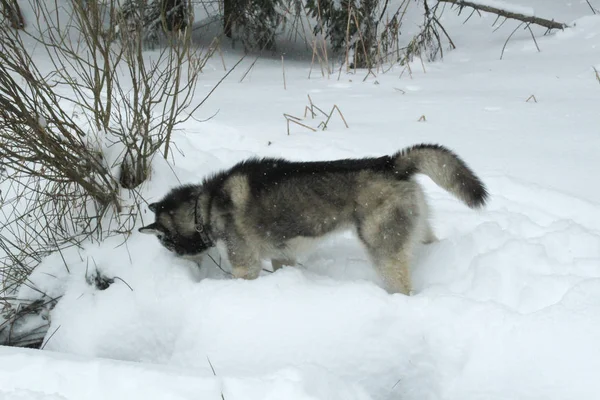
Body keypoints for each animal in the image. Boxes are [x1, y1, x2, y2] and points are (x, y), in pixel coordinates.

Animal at [139, 144, 488, 294]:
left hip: (383, 251)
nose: (173, 261)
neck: (204, 205)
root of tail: (390, 163)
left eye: (166, 243)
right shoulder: (282, 256)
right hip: (417, 232)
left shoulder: (244, 266)